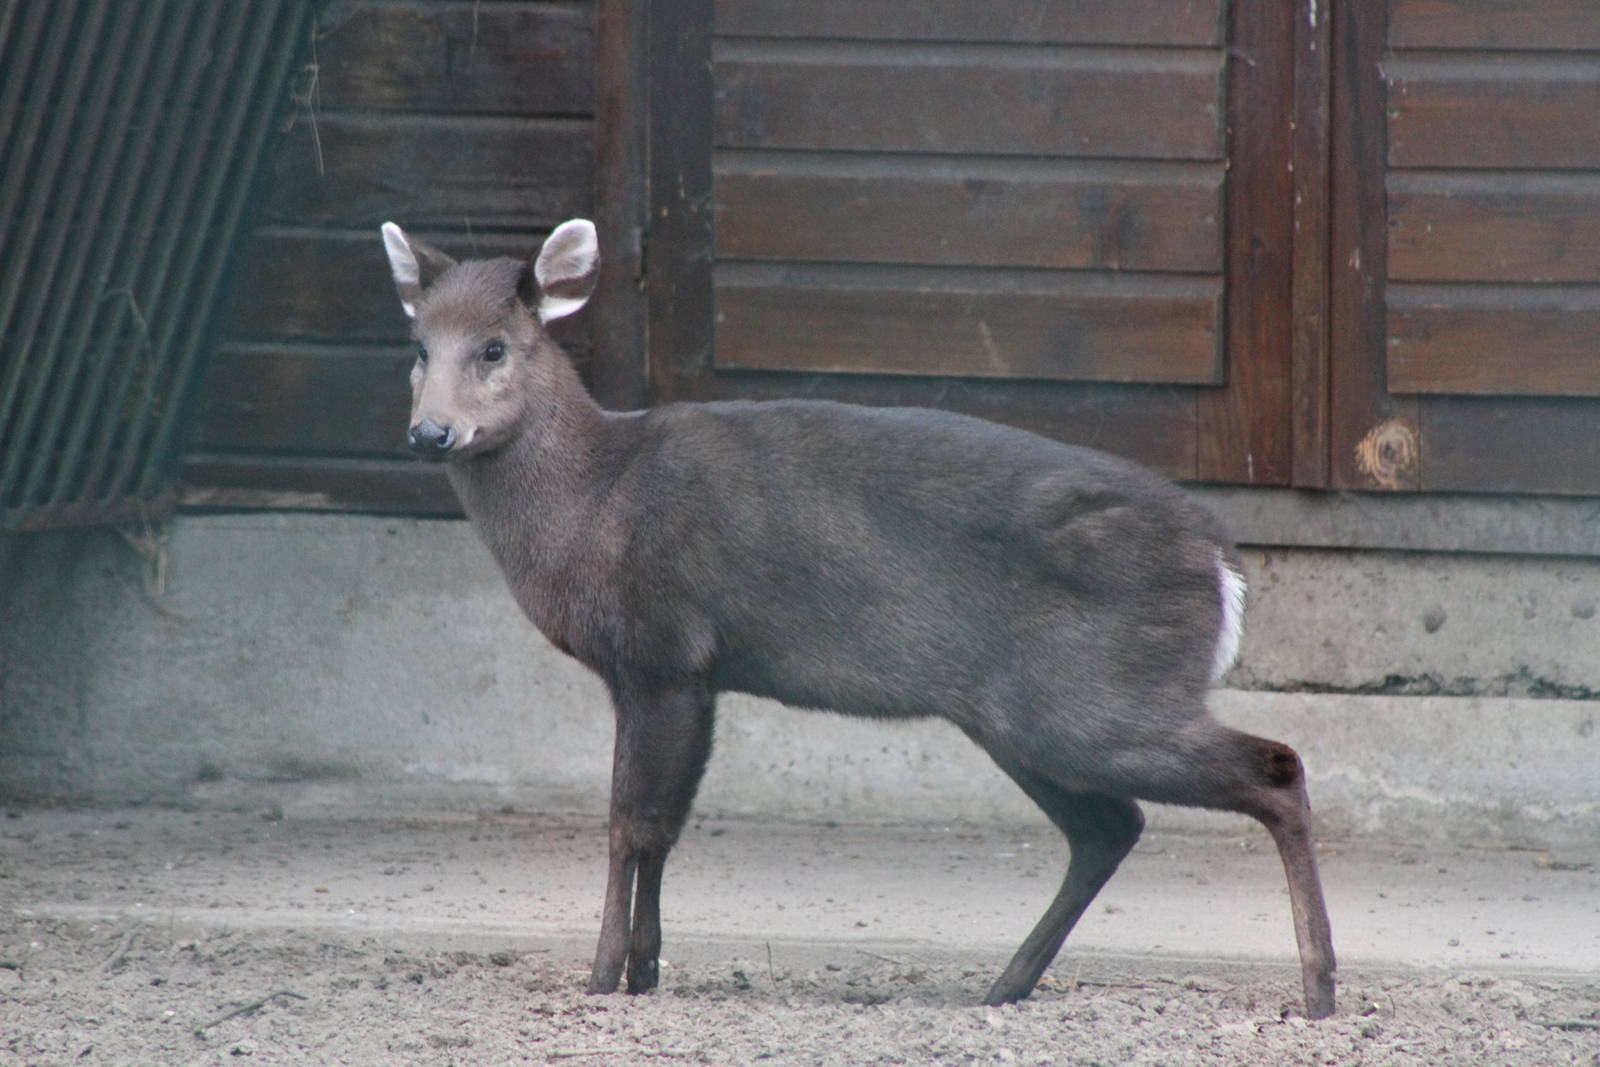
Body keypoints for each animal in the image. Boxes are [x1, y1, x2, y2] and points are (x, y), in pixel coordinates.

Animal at [379, 218, 1337, 1019]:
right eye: (418, 346)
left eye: (495, 347)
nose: (430, 433)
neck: (590, 500)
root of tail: (1223, 567)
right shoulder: (693, 677)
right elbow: (666, 826)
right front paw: (645, 969)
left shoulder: (661, 653)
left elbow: (631, 824)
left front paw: (604, 974)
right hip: (1024, 716)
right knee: (1110, 826)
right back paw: (1005, 983)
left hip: (1094, 697)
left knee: (1273, 765)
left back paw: (1318, 988)